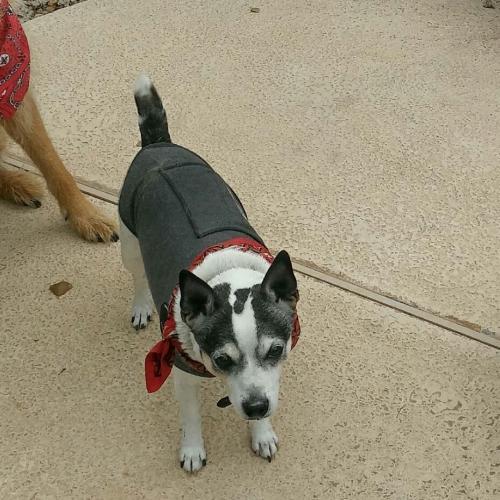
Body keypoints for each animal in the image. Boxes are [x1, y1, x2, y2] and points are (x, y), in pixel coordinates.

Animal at [118, 77, 300, 472]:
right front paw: (192, 449)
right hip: (129, 244)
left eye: (276, 350)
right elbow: (190, 417)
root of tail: (158, 145)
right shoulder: (181, 374)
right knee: (138, 276)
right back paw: (140, 306)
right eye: (222, 360)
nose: (255, 406)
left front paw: (261, 433)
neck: (226, 273)